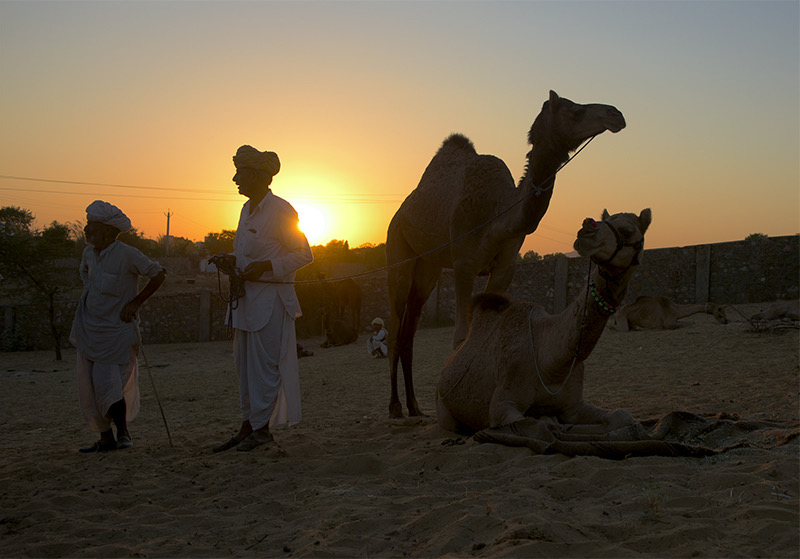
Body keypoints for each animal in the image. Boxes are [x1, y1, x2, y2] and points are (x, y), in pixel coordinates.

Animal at [386, 89, 624, 418]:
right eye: (574, 110)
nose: (616, 114)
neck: (497, 213)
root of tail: (399, 214)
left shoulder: (505, 265)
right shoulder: (464, 263)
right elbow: (460, 336)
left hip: (428, 267)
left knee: (409, 331)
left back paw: (415, 407)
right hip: (398, 251)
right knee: (395, 327)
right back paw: (395, 406)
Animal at [438, 208, 648, 436]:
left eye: (627, 231)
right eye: (605, 221)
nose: (586, 231)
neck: (550, 363)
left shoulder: (574, 407)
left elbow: (622, 416)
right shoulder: (503, 403)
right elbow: (542, 427)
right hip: (443, 404)